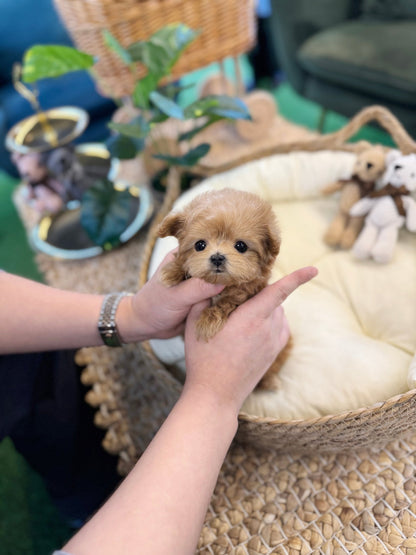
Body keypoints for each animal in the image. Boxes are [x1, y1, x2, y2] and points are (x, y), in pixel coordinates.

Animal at [158, 189, 290, 388]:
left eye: (241, 246)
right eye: (200, 245)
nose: (217, 257)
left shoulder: (247, 291)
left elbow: (229, 301)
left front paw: (208, 321)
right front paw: (171, 272)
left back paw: (270, 382)